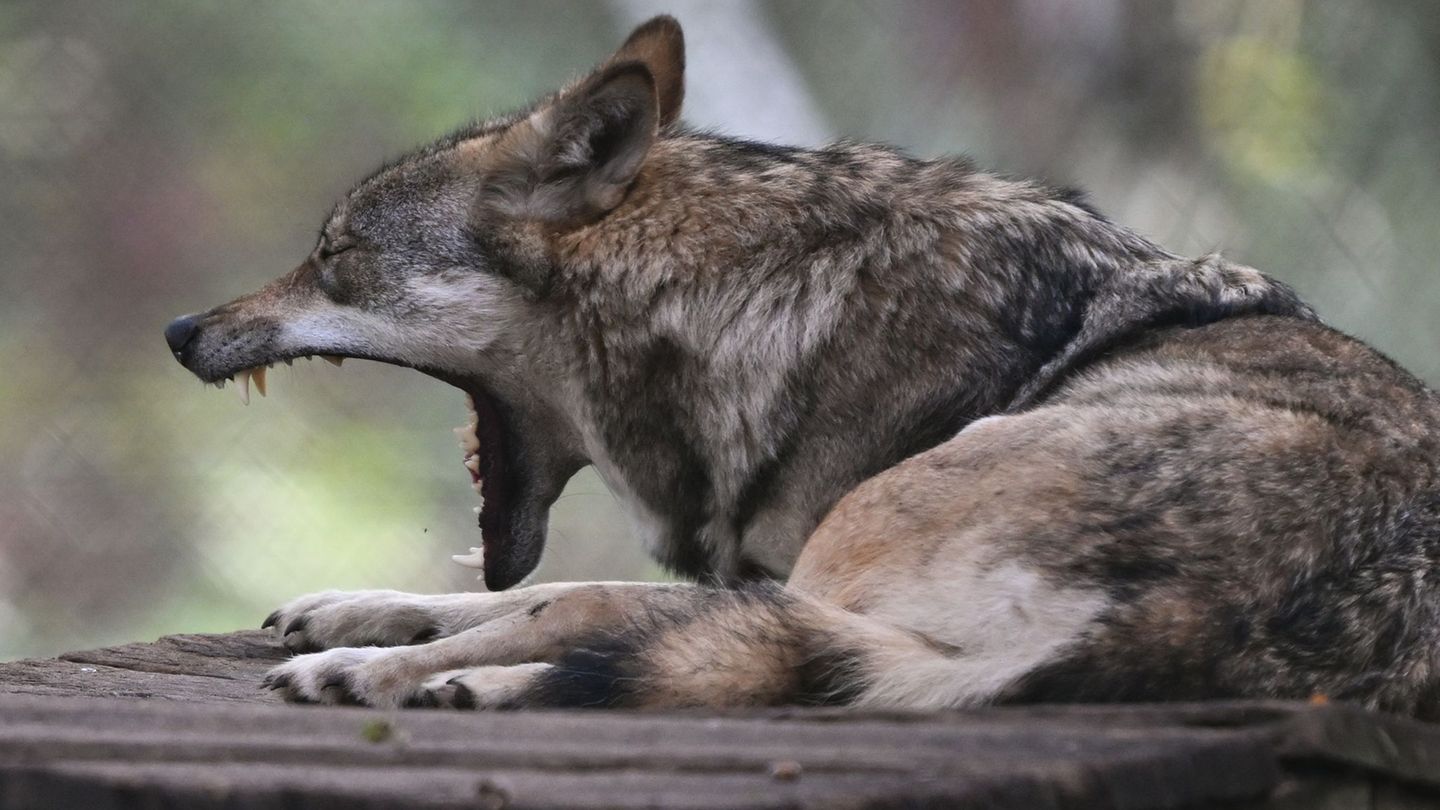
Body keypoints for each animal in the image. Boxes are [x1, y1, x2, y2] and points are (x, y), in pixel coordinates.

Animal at [164, 17, 1440, 716]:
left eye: (333, 255)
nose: (178, 332)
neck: (742, 306)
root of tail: (1214, 606)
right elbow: (505, 590)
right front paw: (353, 610)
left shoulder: (777, 565)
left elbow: (560, 597)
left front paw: (367, 658)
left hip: (847, 553)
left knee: (634, 626)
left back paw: (425, 680)